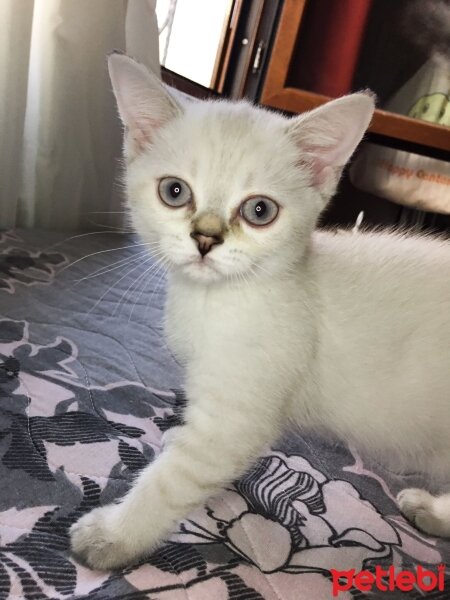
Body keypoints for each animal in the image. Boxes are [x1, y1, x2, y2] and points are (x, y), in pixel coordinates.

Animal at [70, 55, 450, 568]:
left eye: (259, 211)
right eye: (174, 192)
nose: (206, 238)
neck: (213, 302)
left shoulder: (234, 420)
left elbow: (171, 482)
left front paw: (113, 535)